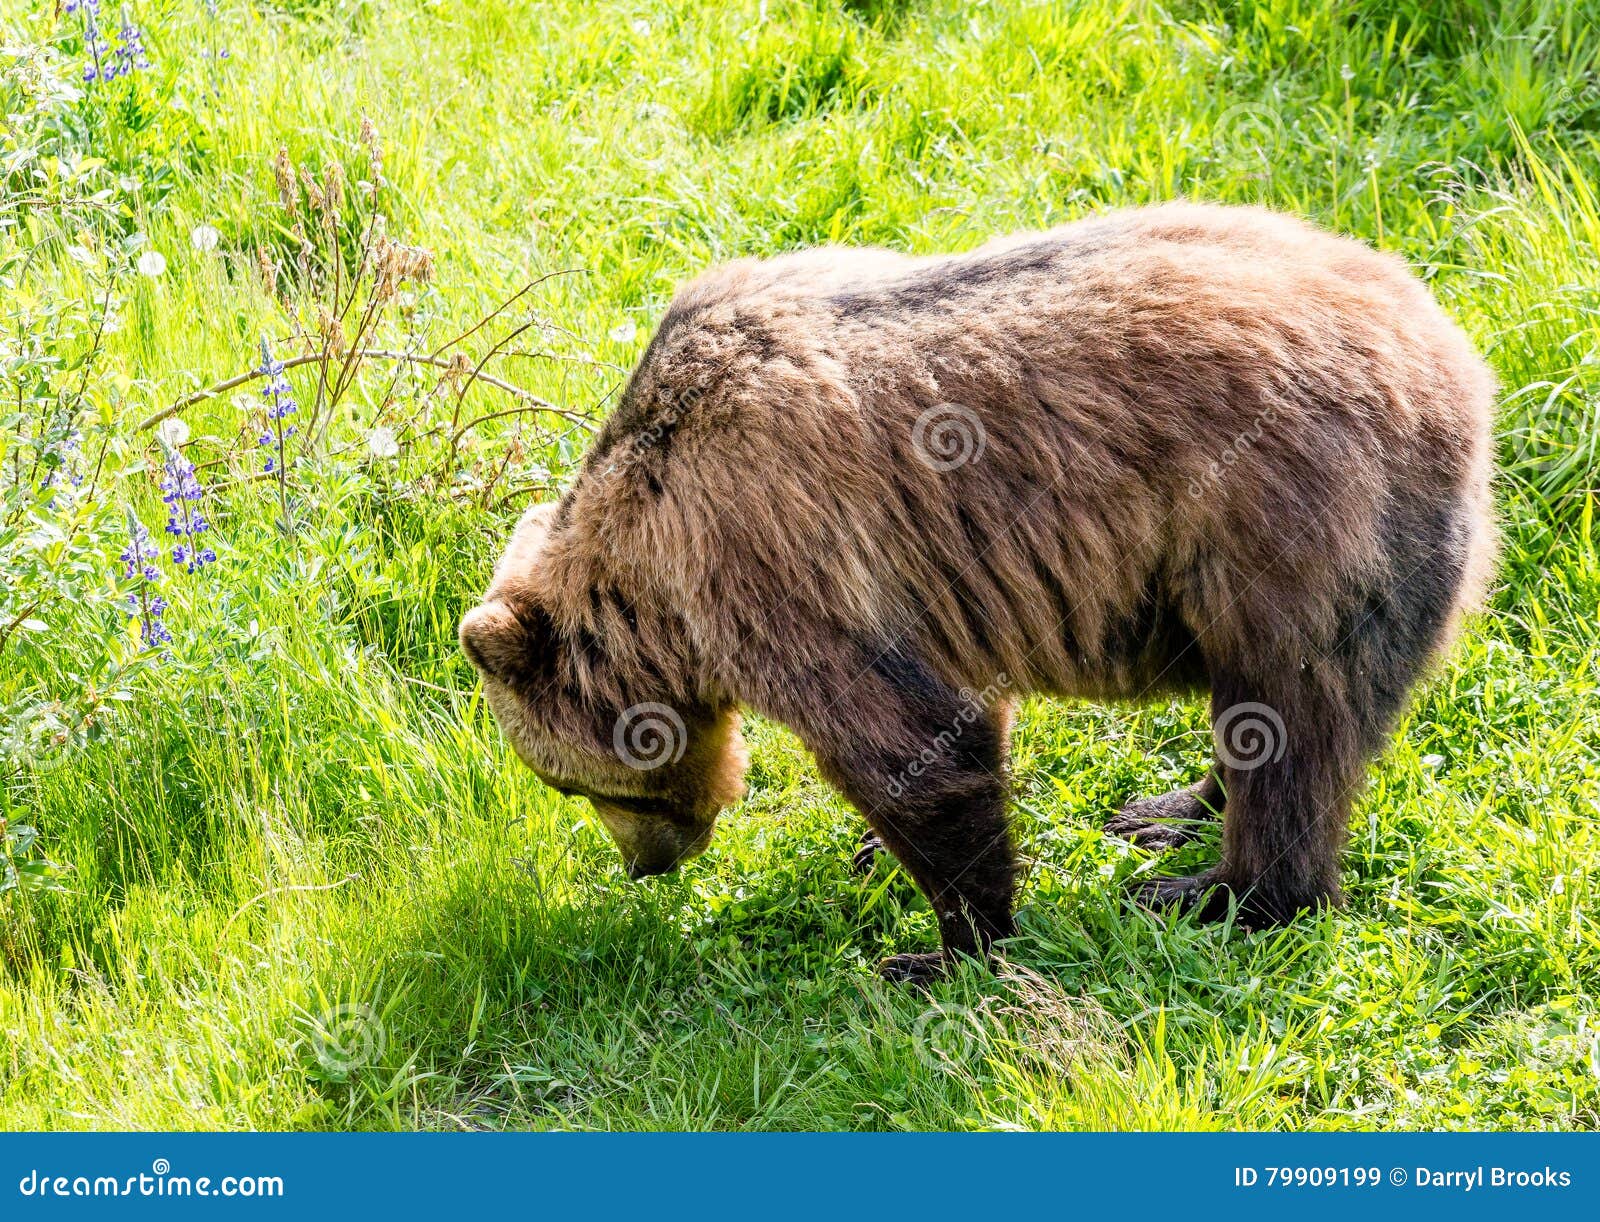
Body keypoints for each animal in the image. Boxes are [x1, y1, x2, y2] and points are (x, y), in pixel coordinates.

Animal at [459, 202, 1497, 983]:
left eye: (567, 781)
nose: (649, 866)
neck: (649, 575)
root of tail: (1460, 363)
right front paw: (878, 859)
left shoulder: (775, 562)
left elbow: (912, 745)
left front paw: (942, 949)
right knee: (1257, 719)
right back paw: (1166, 810)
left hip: (1292, 525)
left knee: (1295, 718)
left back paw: (1220, 893)